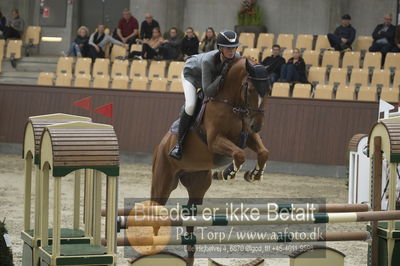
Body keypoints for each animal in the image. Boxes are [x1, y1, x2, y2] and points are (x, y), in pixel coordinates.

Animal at [152, 57, 270, 262]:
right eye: (250, 90)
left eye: (269, 90)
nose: (257, 126)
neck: (232, 104)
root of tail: (160, 147)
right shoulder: (215, 141)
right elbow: (239, 154)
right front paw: (227, 173)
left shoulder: (248, 136)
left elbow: (263, 152)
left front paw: (254, 174)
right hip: (163, 183)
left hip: (198, 185)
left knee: (190, 214)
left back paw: (190, 253)